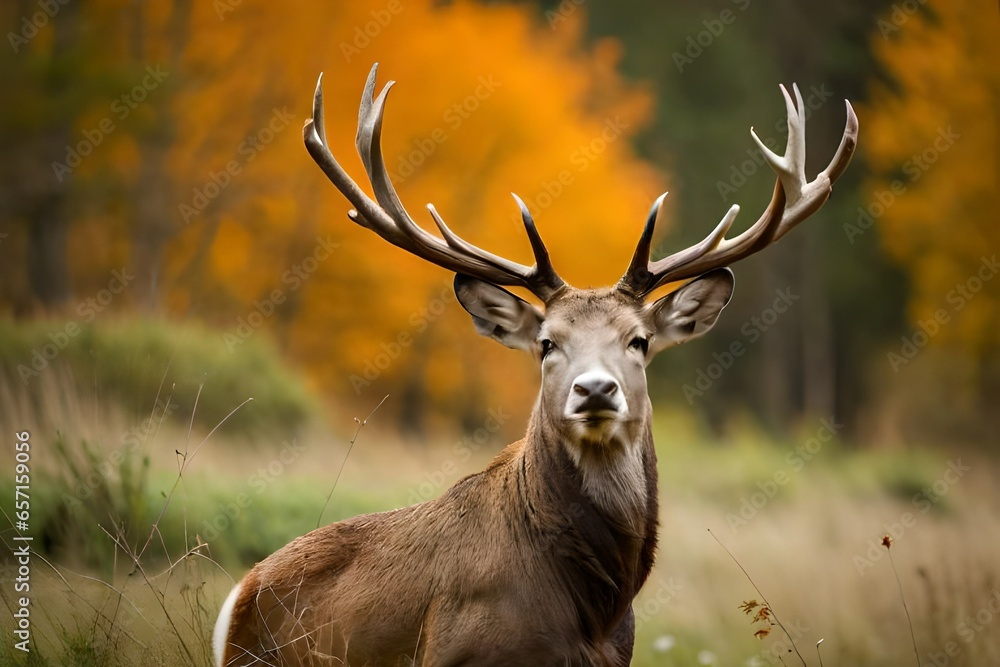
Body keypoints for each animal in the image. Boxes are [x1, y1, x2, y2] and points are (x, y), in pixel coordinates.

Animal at [213, 63, 857, 666]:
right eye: (547, 342)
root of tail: (238, 596)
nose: (594, 390)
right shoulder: (461, 653)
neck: (590, 614)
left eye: (639, 340)